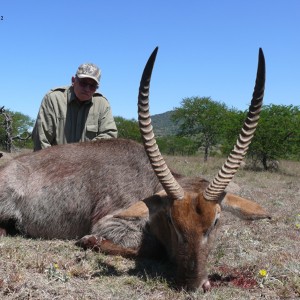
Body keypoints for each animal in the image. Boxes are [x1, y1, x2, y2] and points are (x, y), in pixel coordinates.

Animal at [0, 48, 268, 292]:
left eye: (216, 221)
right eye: (171, 220)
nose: (192, 285)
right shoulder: (110, 222)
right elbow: (154, 249)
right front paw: (89, 240)